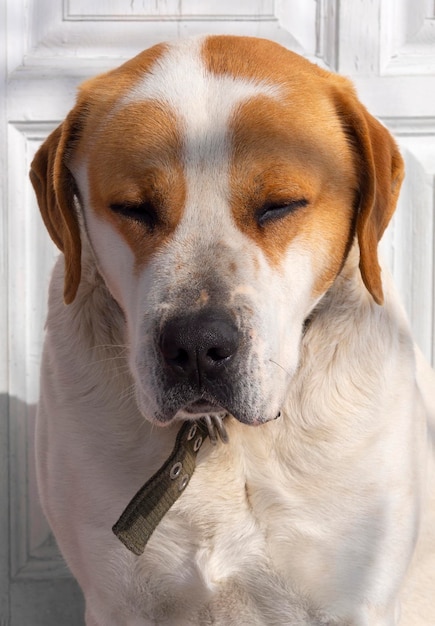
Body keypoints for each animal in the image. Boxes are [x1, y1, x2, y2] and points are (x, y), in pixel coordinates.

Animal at [30, 35, 435, 624]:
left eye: (280, 205)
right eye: (133, 208)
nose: (197, 345)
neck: (223, 443)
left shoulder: (357, 598)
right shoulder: (116, 601)